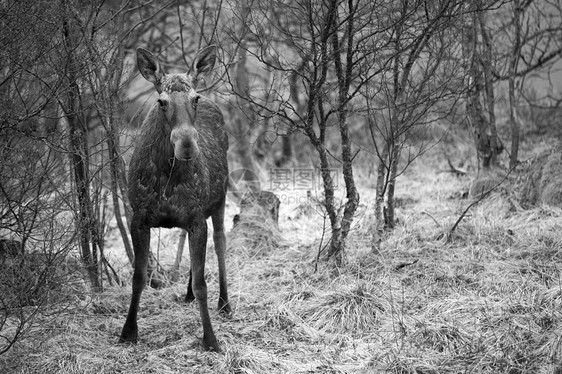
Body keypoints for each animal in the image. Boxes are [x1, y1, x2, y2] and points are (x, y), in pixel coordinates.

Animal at [119, 45, 231, 352]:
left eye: (195, 98)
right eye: (161, 101)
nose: (186, 144)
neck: (167, 177)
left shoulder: (196, 218)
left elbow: (204, 283)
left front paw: (210, 339)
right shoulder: (139, 218)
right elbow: (139, 277)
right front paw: (128, 332)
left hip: (220, 199)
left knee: (220, 244)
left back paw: (225, 303)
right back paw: (188, 293)